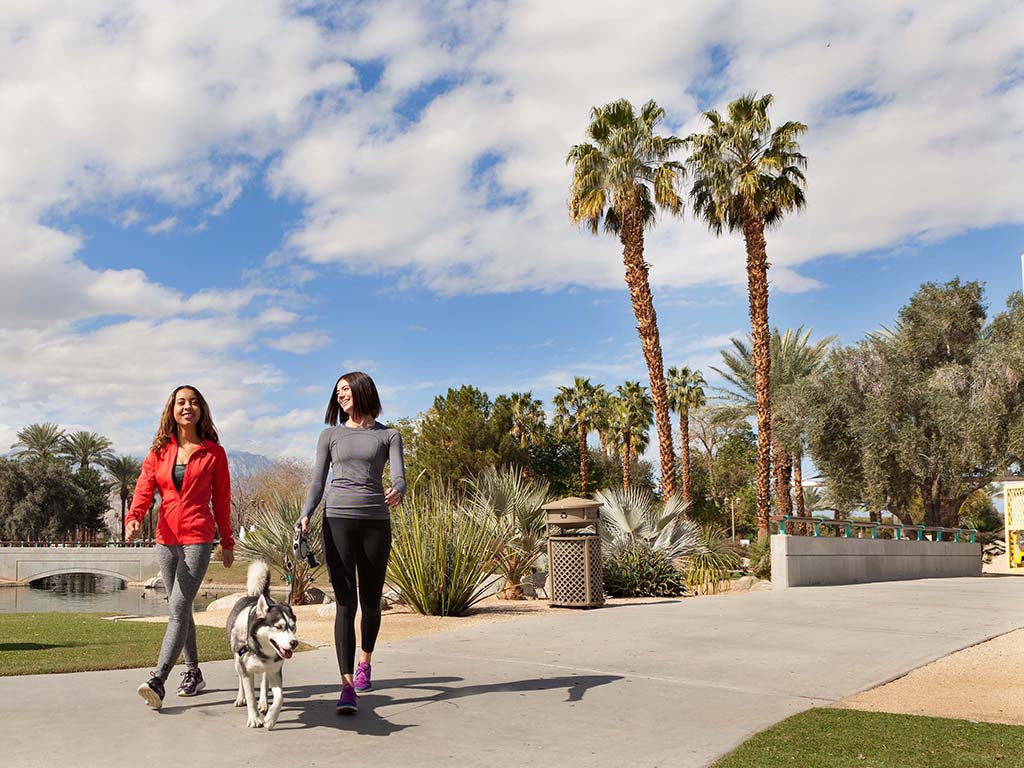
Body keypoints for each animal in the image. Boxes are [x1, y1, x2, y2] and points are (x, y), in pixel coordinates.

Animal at [226, 561, 299, 729]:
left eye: (293, 627)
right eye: (279, 627)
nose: (294, 643)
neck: (260, 650)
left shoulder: (275, 671)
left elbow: (280, 697)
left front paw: (271, 718)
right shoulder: (246, 670)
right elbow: (250, 696)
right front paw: (254, 719)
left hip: (268, 670)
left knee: (265, 683)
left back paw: (264, 704)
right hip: (237, 661)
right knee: (241, 681)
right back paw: (240, 698)